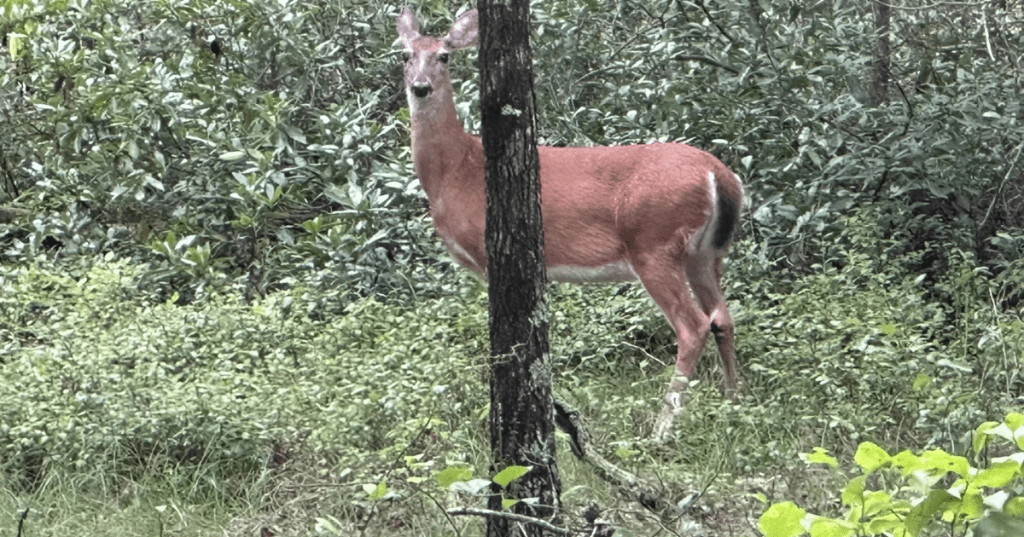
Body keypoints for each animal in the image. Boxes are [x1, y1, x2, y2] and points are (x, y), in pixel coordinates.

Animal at [397, 7, 743, 439]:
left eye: (443, 56)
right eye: (405, 55)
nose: (420, 88)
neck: (456, 172)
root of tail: (719, 175)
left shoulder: (489, 250)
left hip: (654, 242)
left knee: (693, 325)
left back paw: (661, 428)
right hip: (707, 252)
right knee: (723, 317)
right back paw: (735, 404)